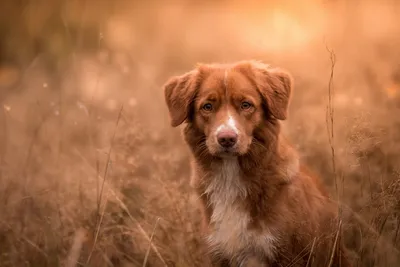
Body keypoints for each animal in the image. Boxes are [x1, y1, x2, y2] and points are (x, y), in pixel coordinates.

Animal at [162, 60, 350, 267]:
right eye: (207, 106)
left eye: (246, 105)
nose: (226, 139)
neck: (231, 175)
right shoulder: (219, 252)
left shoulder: (288, 254)